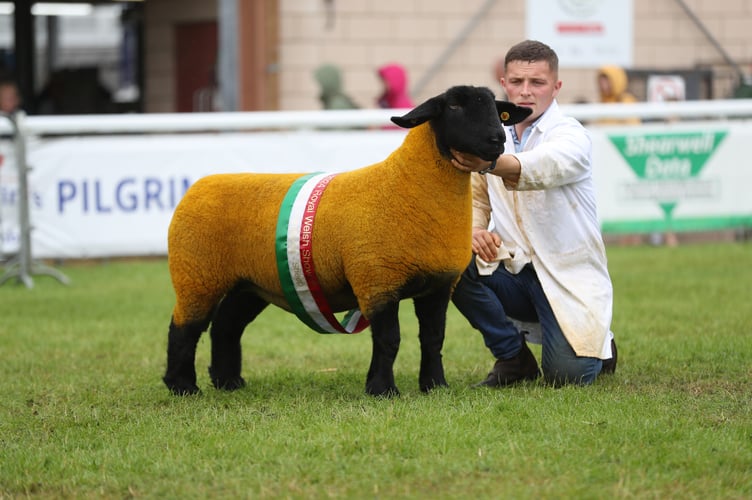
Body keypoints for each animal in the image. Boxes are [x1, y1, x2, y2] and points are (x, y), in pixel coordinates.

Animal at [162, 86, 532, 398]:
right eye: (453, 105)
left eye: (496, 110)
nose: (497, 139)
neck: (408, 185)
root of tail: (198, 186)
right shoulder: (377, 281)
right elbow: (389, 340)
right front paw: (382, 389)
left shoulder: (438, 286)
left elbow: (432, 339)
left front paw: (434, 386)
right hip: (198, 275)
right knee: (184, 327)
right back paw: (182, 386)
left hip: (251, 283)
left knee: (226, 325)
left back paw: (229, 382)